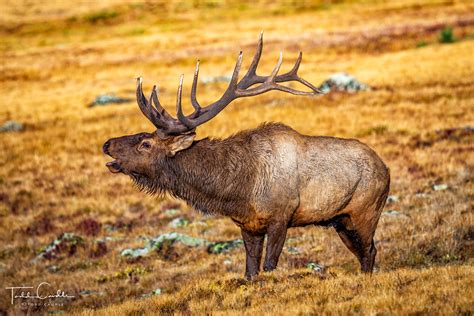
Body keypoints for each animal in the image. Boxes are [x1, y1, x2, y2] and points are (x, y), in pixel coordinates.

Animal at [104, 34, 392, 278]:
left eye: (145, 143)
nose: (107, 143)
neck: (240, 190)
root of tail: (386, 167)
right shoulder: (248, 225)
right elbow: (250, 271)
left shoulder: (281, 216)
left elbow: (270, 265)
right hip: (340, 220)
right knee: (362, 252)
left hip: (366, 210)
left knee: (370, 251)